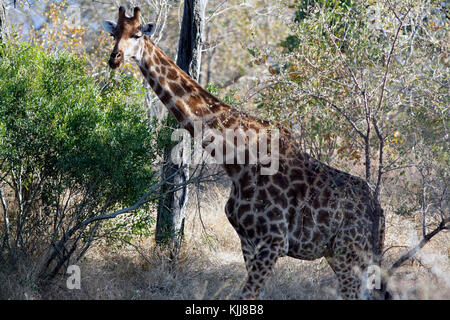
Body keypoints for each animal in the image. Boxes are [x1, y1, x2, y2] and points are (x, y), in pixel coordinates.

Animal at [102, 5, 386, 300]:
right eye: (114, 34)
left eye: (137, 34)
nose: (115, 58)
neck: (236, 160)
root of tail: (378, 211)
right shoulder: (248, 241)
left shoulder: (273, 241)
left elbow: (247, 294)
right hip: (345, 255)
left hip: (347, 252)